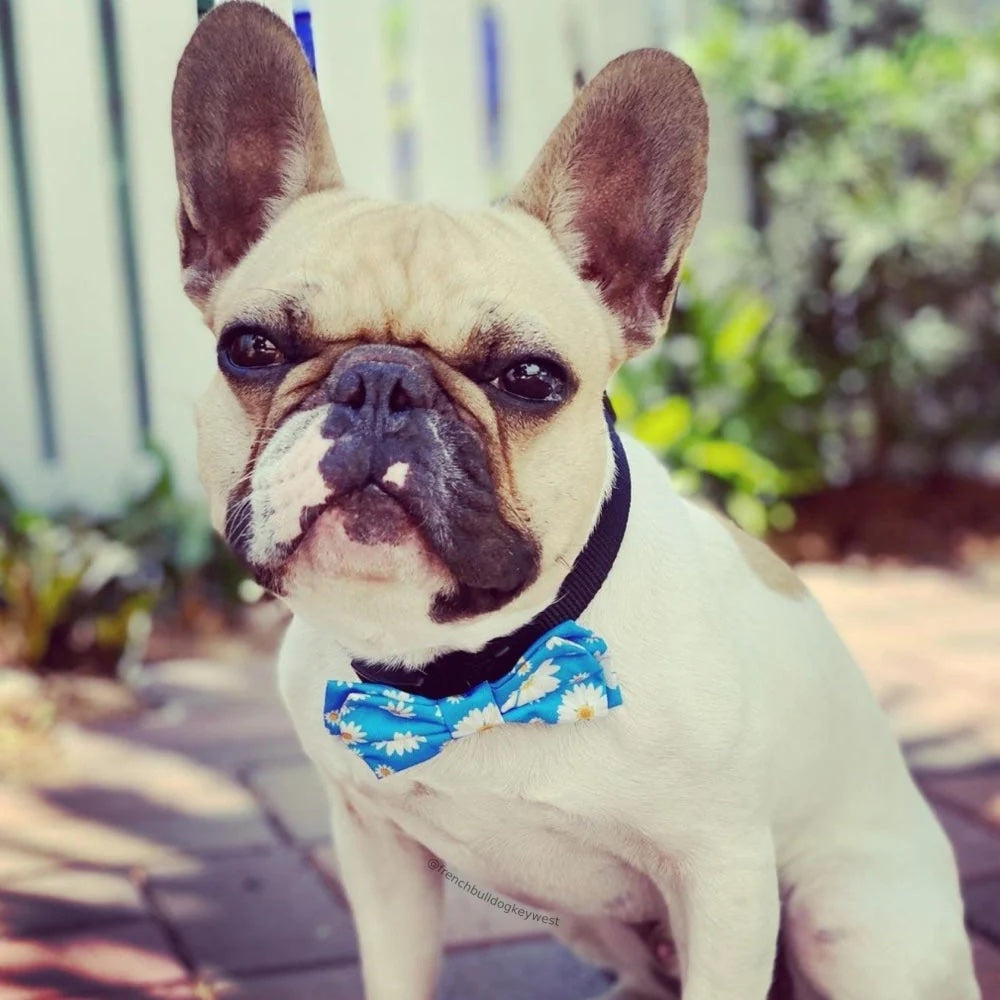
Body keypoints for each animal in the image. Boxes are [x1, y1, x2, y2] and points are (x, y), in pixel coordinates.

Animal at [172, 3, 976, 996]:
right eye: (251, 349)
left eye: (529, 377)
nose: (380, 383)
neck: (471, 668)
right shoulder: (376, 852)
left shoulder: (726, 874)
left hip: (846, 917)